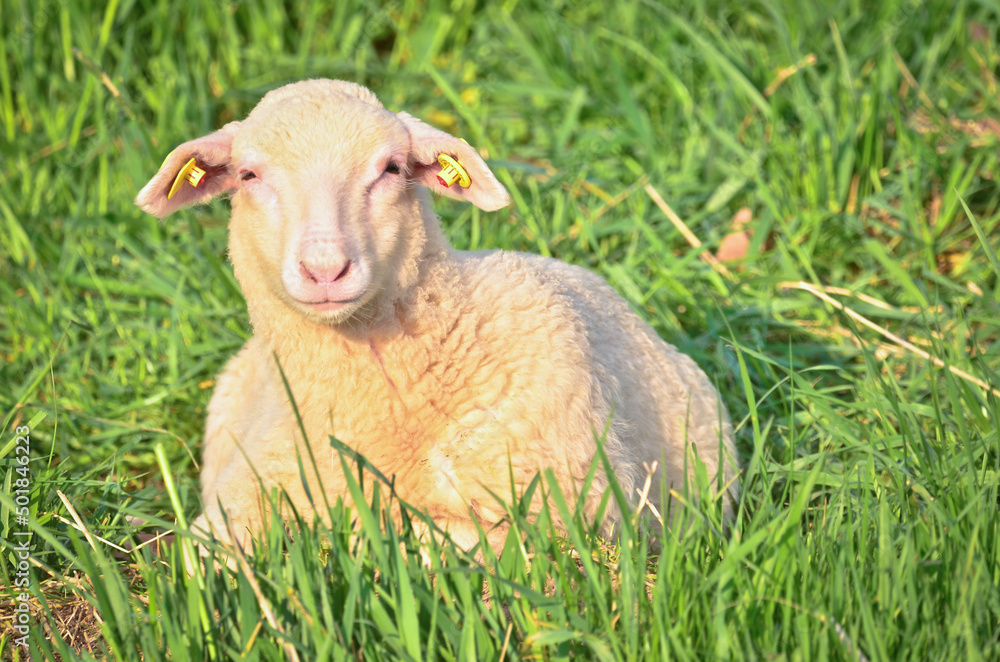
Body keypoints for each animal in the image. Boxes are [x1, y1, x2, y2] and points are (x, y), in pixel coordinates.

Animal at [135, 79, 738, 555]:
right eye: (249, 175)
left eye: (391, 168)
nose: (325, 268)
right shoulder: (244, 492)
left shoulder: (567, 503)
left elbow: (420, 539)